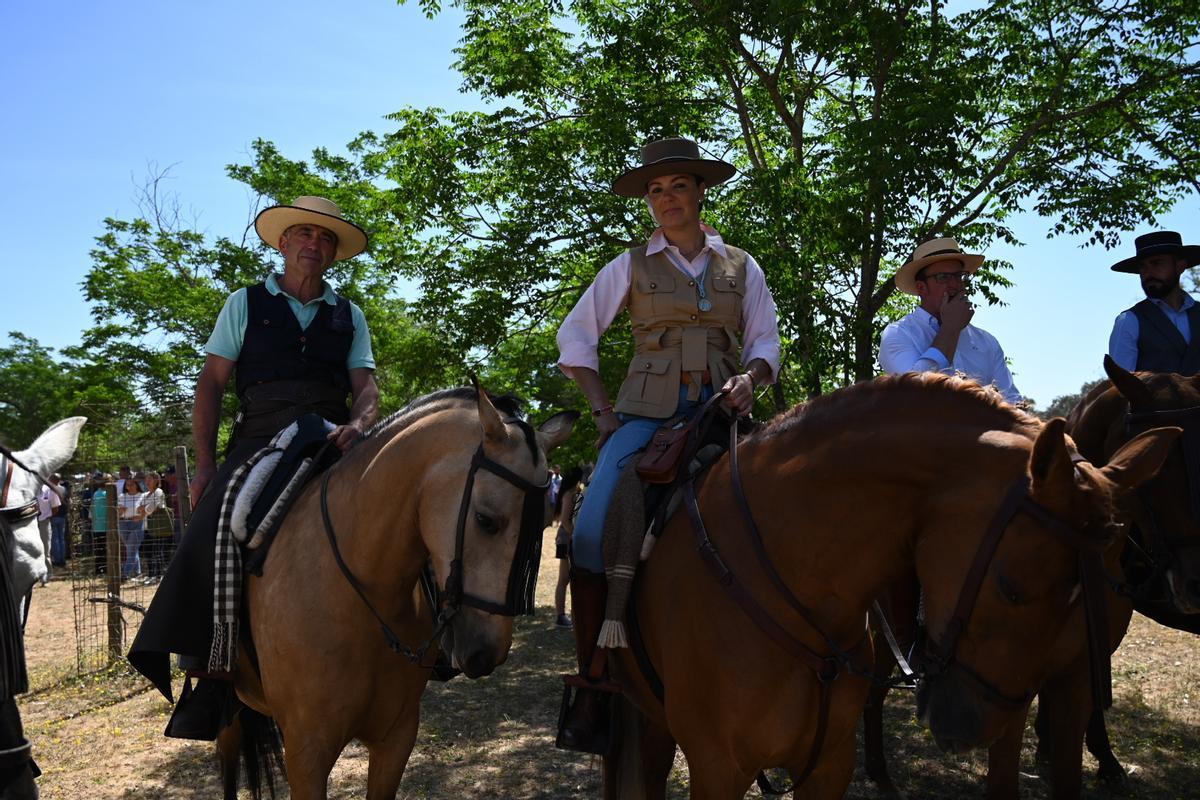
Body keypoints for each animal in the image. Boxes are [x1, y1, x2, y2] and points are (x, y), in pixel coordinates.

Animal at [226, 386, 578, 796]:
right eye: (485, 520)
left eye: (540, 527)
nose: (487, 653)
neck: (362, 597)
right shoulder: (306, 755)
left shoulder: (396, 739)